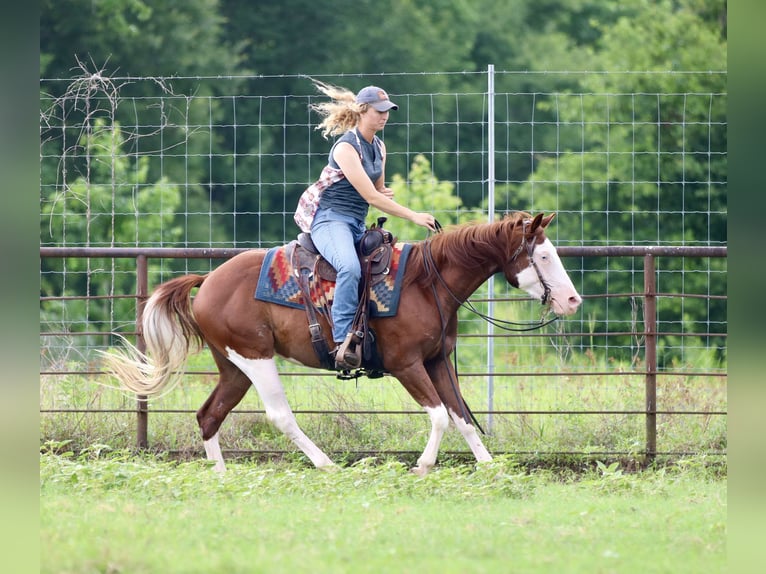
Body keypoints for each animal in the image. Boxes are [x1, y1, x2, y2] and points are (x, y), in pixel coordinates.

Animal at [102, 211, 582, 475]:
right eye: (542, 256)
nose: (573, 299)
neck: (426, 283)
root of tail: (208, 280)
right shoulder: (406, 365)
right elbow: (440, 416)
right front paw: (423, 466)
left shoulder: (438, 361)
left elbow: (462, 417)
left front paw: (490, 468)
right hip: (255, 358)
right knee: (279, 416)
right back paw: (326, 465)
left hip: (233, 366)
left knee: (209, 415)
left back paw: (221, 475)